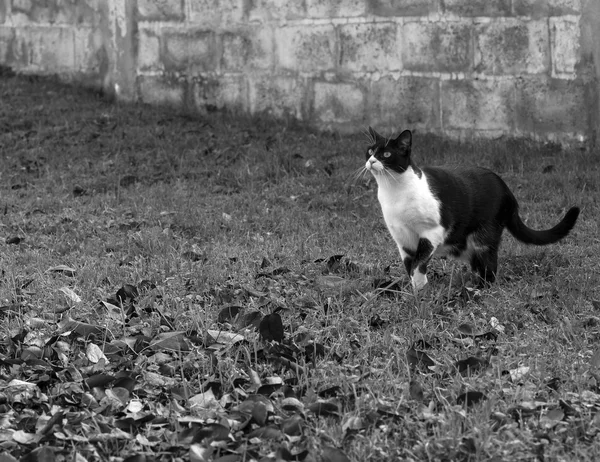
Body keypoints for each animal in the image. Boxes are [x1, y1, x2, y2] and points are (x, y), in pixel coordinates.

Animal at [364, 126, 580, 290]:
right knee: (477, 264)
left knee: (490, 267)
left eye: (386, 154)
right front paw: (415, 293)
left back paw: (478, 290)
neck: (393, 192)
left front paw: (420, 290)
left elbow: (418, 263)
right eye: (370, 151)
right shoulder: (403, 239)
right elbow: (410, 265)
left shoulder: (432, 231)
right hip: (464, 244)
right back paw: (470, 284)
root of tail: (507, 191)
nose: (371, 160)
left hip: (483, 236)